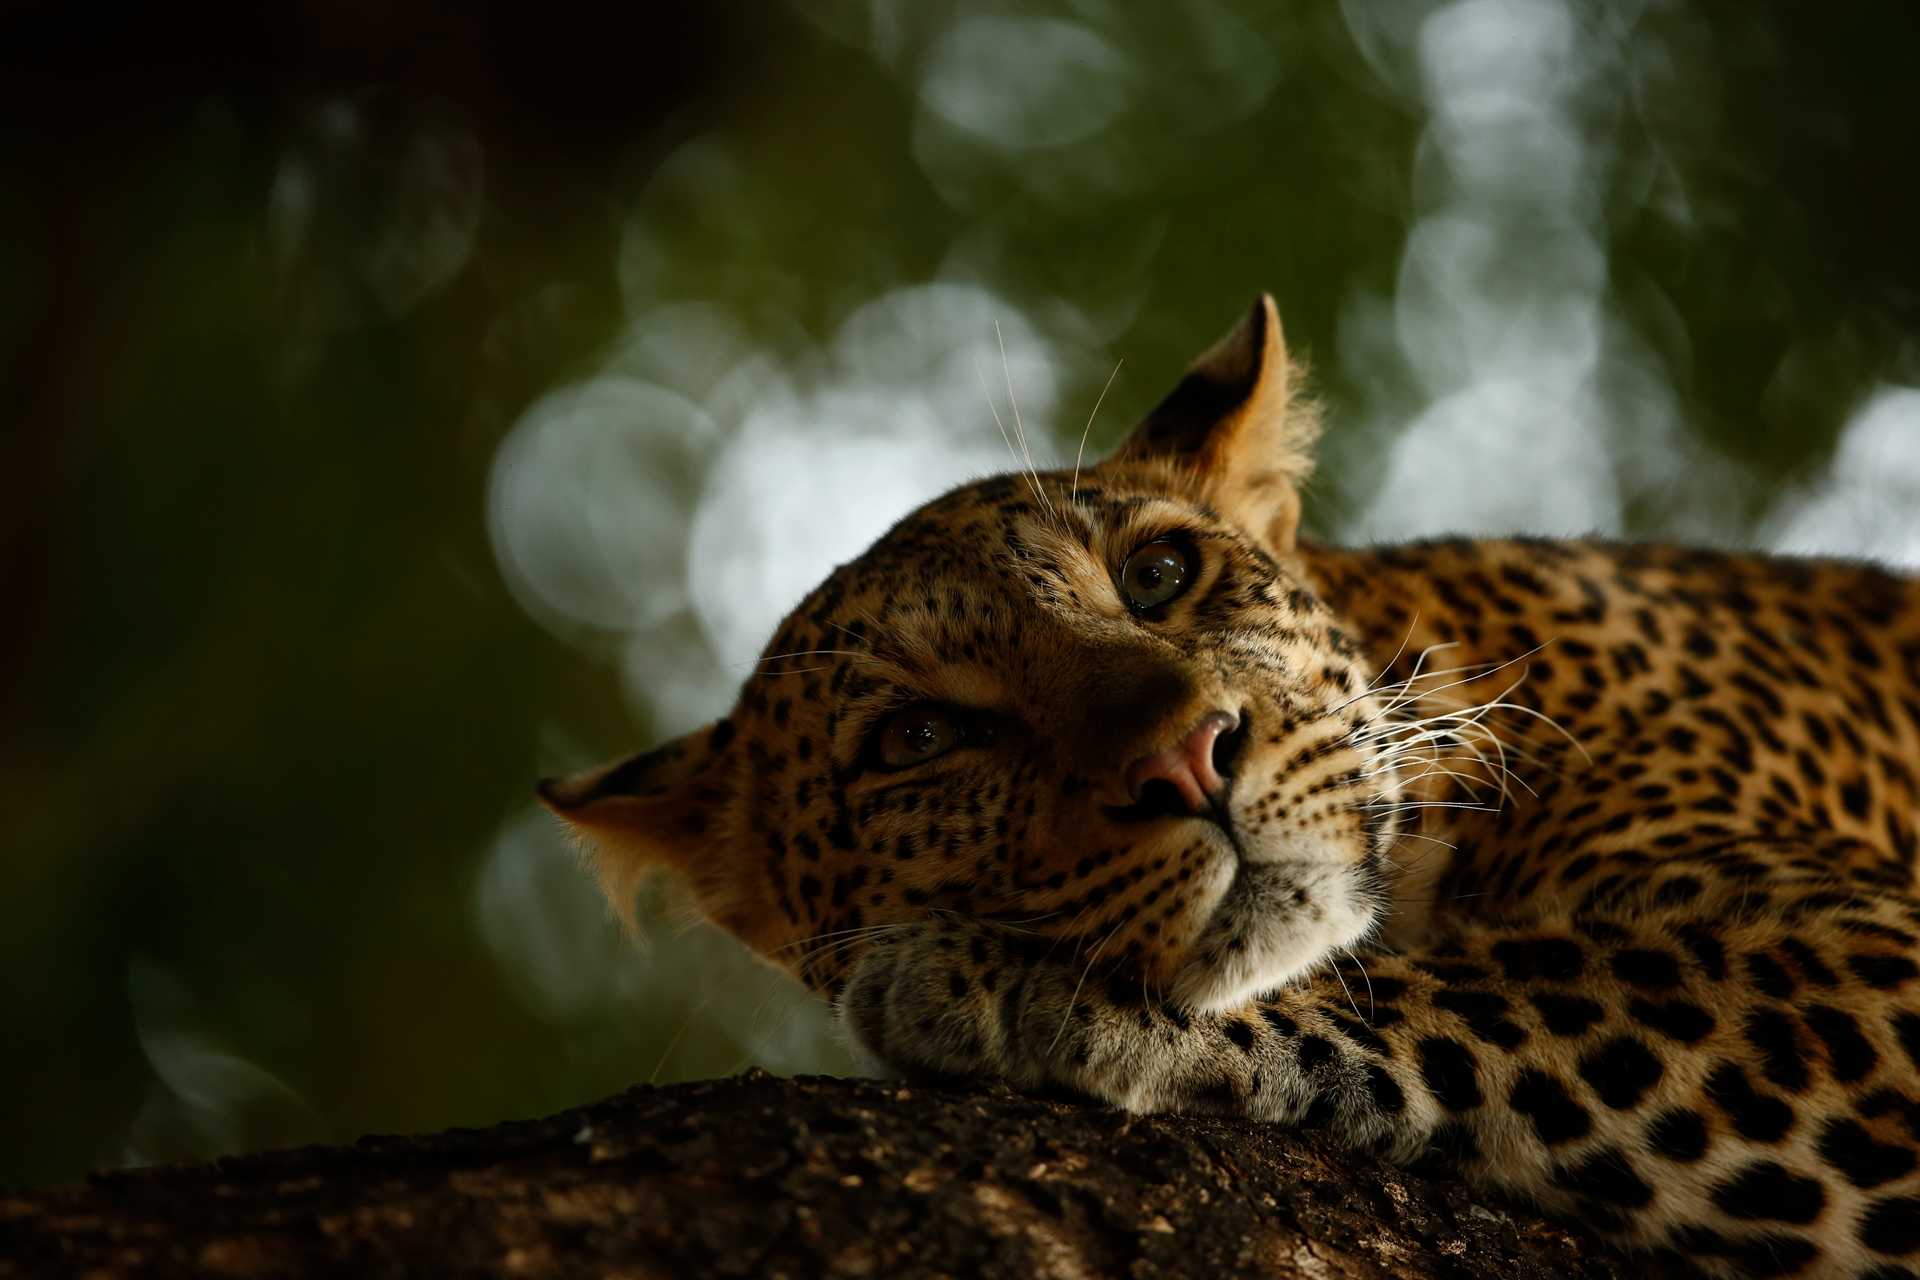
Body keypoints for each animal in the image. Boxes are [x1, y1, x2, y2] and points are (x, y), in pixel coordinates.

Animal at [537, 295, 1920, 1274]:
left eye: (1157, 574)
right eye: (919, 738)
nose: (1186, 758)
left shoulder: (1867, 958)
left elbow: (1523, 980)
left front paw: (1013, 985)